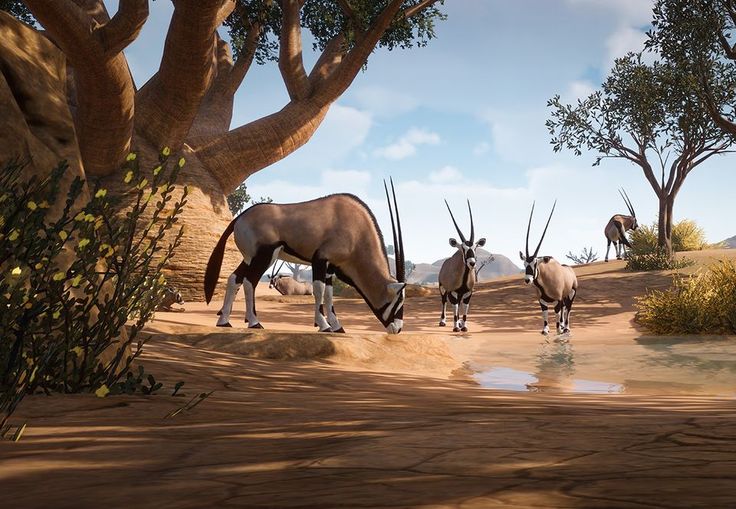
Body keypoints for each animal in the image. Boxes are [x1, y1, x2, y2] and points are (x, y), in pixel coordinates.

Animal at [203, 179, 408, 334]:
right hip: (265, 256)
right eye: (398, 300)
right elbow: (319, 290)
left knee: (234, 278)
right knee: (249, 281)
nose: (397, 329)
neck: (356, 230)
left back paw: (224, 321)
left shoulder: (330, 268)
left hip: (250, 258)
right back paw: (254, 322)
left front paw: (337, 326)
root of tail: (239, 218)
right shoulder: (321, 260)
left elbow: (329, 295)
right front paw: (324, 325)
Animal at [440, 198, 486, 334]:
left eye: (475, 247)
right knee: (444, 301)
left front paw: (464, 326)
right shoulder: (452, 292)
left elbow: (464, 309)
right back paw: (443, 321)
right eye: (462, 248)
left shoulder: (467, 293)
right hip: (443, 288)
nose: (472, 263)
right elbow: (455, 308)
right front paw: (456, 327)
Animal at [520, 200, 576, 336]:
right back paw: (563, 325)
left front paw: (559, 329)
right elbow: (545, 315)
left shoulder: (558, 300)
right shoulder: (542, 301)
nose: (527, 280)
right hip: (565, 296)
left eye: (535, 264)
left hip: (571, 294)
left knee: (568, 309)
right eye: (524, 264)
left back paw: (566, 327)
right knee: (564, 309)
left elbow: (557, 313)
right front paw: (545, 329)